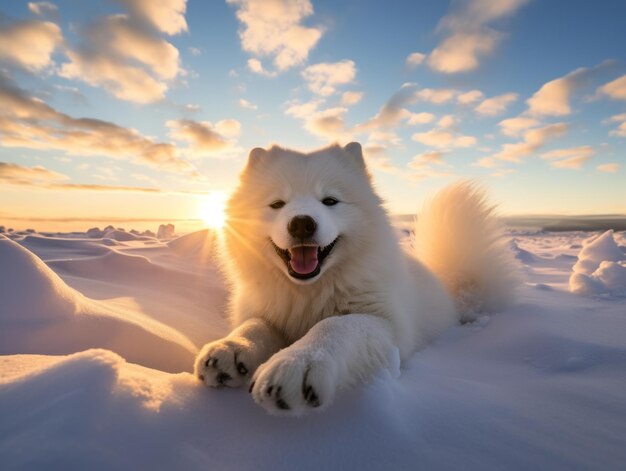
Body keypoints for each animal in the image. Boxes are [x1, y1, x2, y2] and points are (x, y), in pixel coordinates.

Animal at [195, 143, 516, 416]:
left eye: (330, 201)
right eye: (277, 204)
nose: (302, 223)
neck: (307, 294)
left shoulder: (387, 325)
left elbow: (336, 325)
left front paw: (297, 362)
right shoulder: (270, 310)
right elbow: (254, 325)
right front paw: (230, 348)